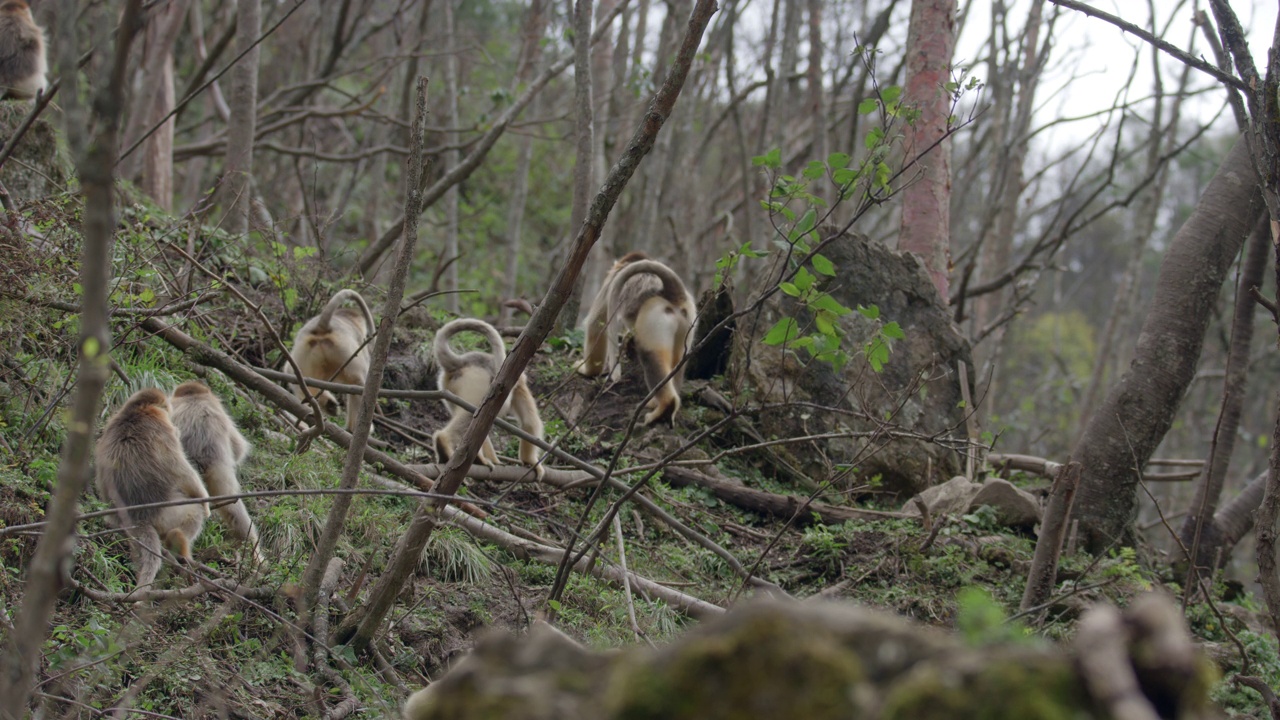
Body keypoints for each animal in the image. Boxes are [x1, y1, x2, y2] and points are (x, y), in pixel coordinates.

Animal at [94, 389, 209, 586]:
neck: (135, 410)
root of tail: (139, 516)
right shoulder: (162, 425)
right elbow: (180, 469)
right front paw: (206, 504)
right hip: (168, 514)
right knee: (194, 512)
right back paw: (178, 541)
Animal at [288, 288, 373, 427]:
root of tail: (322, 328)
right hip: (345, 349)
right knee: (357, 384)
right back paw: (353, 427)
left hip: (302, 352)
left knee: (294, 374)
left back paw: (326, 405)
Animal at [435, 317, 545, 476]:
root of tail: (462, 362)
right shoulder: (518, 387)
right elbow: (529, 422)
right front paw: (530, 462)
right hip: (477, 379)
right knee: (472, 412)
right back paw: (443, 441)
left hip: (448, 386)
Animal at [581, 251, 701, 422]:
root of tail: (671, 292)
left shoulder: (610, 281)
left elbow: (596, 325)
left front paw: (587, 371)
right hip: (687, 322)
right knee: (678, 361)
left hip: (654, 318)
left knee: (650, 355)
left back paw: (665, 405)